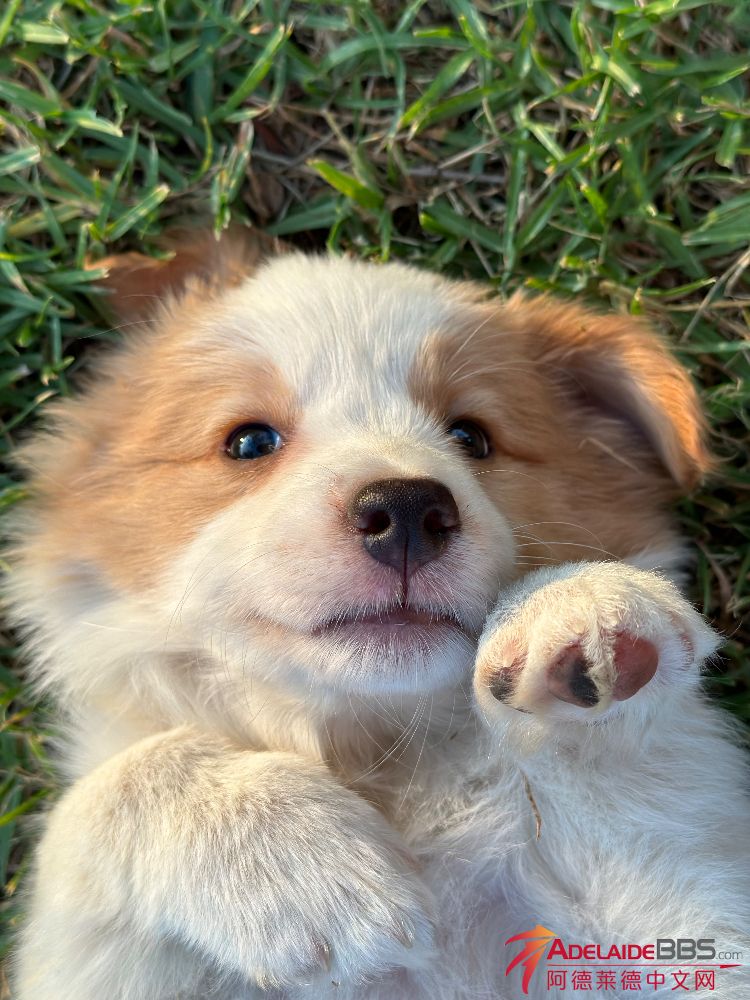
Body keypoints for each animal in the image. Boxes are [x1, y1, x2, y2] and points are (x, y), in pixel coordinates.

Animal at [7, 231, 749, 999]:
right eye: (248, 441)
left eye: (472, 436)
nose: (407, 509)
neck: (379, 751)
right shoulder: (94, 966)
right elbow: (104, 792)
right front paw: (310, 872)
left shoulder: (691, 889)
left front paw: (582, 615)